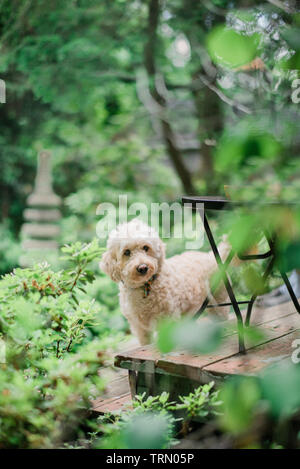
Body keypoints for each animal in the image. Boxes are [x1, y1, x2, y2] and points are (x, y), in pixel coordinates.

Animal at [100, 217, 230, 344]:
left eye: (146, 247)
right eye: (126, 252)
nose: (143, 267)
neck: (145, 287)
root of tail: (209, 256)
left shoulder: (167, 320)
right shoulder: (139, 327)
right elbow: (145, 342)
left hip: (218, 301)